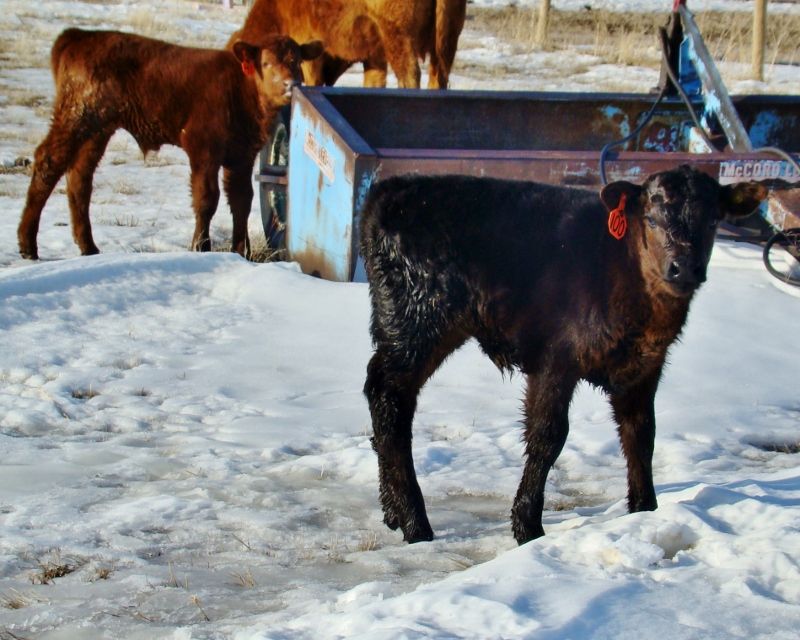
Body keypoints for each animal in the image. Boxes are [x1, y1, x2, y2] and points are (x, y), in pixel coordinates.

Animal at [17, 28, 323, 260]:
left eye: (296, 60)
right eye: (266, 63)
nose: (290, 84)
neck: (241, 89)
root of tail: (78, 36)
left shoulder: (241, 156)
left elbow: (241, 201)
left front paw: (240, 251)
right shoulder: (203, 147)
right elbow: (206, 199)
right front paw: (201, 247)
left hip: (97, 130)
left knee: (79, 177)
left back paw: (88, 247)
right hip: (76, 117)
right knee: (48, 162)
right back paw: (28, 245)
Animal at [230, 0, 467, 89]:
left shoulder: (307, 51)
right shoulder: (374, 56)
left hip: (398, 35)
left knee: (410, 75)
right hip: (448, 41)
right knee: (439, 78)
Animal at [360, 165, 767, 545]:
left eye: (713, 221)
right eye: (651, 218)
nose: (684, 268)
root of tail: (389, 189)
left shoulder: (645, 367)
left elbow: (641, 435)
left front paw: (644, 510)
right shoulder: (556, 358)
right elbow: (548, 436)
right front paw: (527, 526)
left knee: (386, 399)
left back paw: (393, 513)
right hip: (420, 318)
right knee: (389, 398)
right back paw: (415, 523)